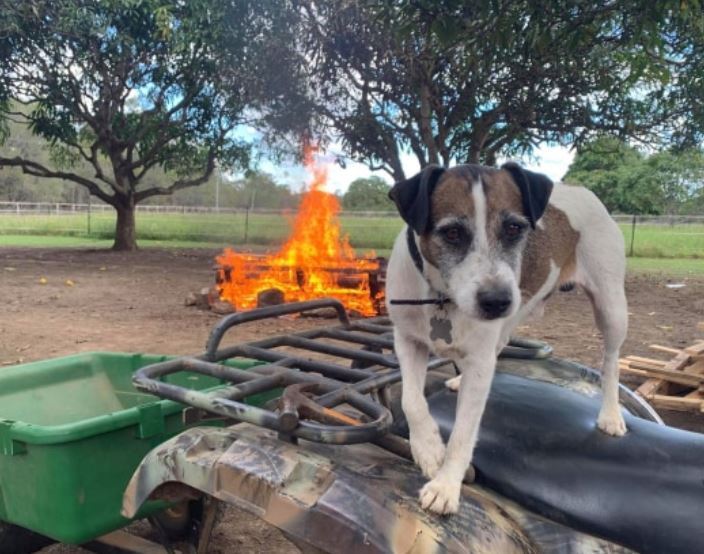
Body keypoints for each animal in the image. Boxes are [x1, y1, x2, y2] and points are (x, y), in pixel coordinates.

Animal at [384, 163, 628, 512]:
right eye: (452, 232)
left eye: (514, 228)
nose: (497, 300)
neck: (443, 298)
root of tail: (581, 190)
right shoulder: (407, 340)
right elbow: (412, 400)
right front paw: (428, 448)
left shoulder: (479, 357)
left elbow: (463, 434)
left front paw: (446, 485)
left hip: (611, 307)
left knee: (611, 361)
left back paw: (610, 414)